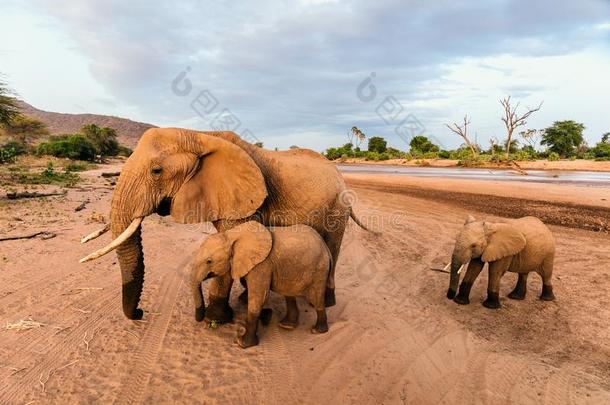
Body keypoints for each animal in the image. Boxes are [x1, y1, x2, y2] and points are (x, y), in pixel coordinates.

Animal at [78, 128, 368, 320]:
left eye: (156, 171)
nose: (139, 313)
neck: (199, 135)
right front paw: (241, 302)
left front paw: (216, 318)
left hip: (337, 207)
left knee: (332, 247)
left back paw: (327, 301)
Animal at [190, 221, 332, 348]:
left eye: (209, 261)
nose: (202, 319)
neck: (231, 235)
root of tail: (326, 247)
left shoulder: (262, 265)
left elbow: (258, 297)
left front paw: (243, 344)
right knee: (289, 294)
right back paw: (286, 325)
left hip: (319, 268)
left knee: (316, 297)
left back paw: (317, 330)